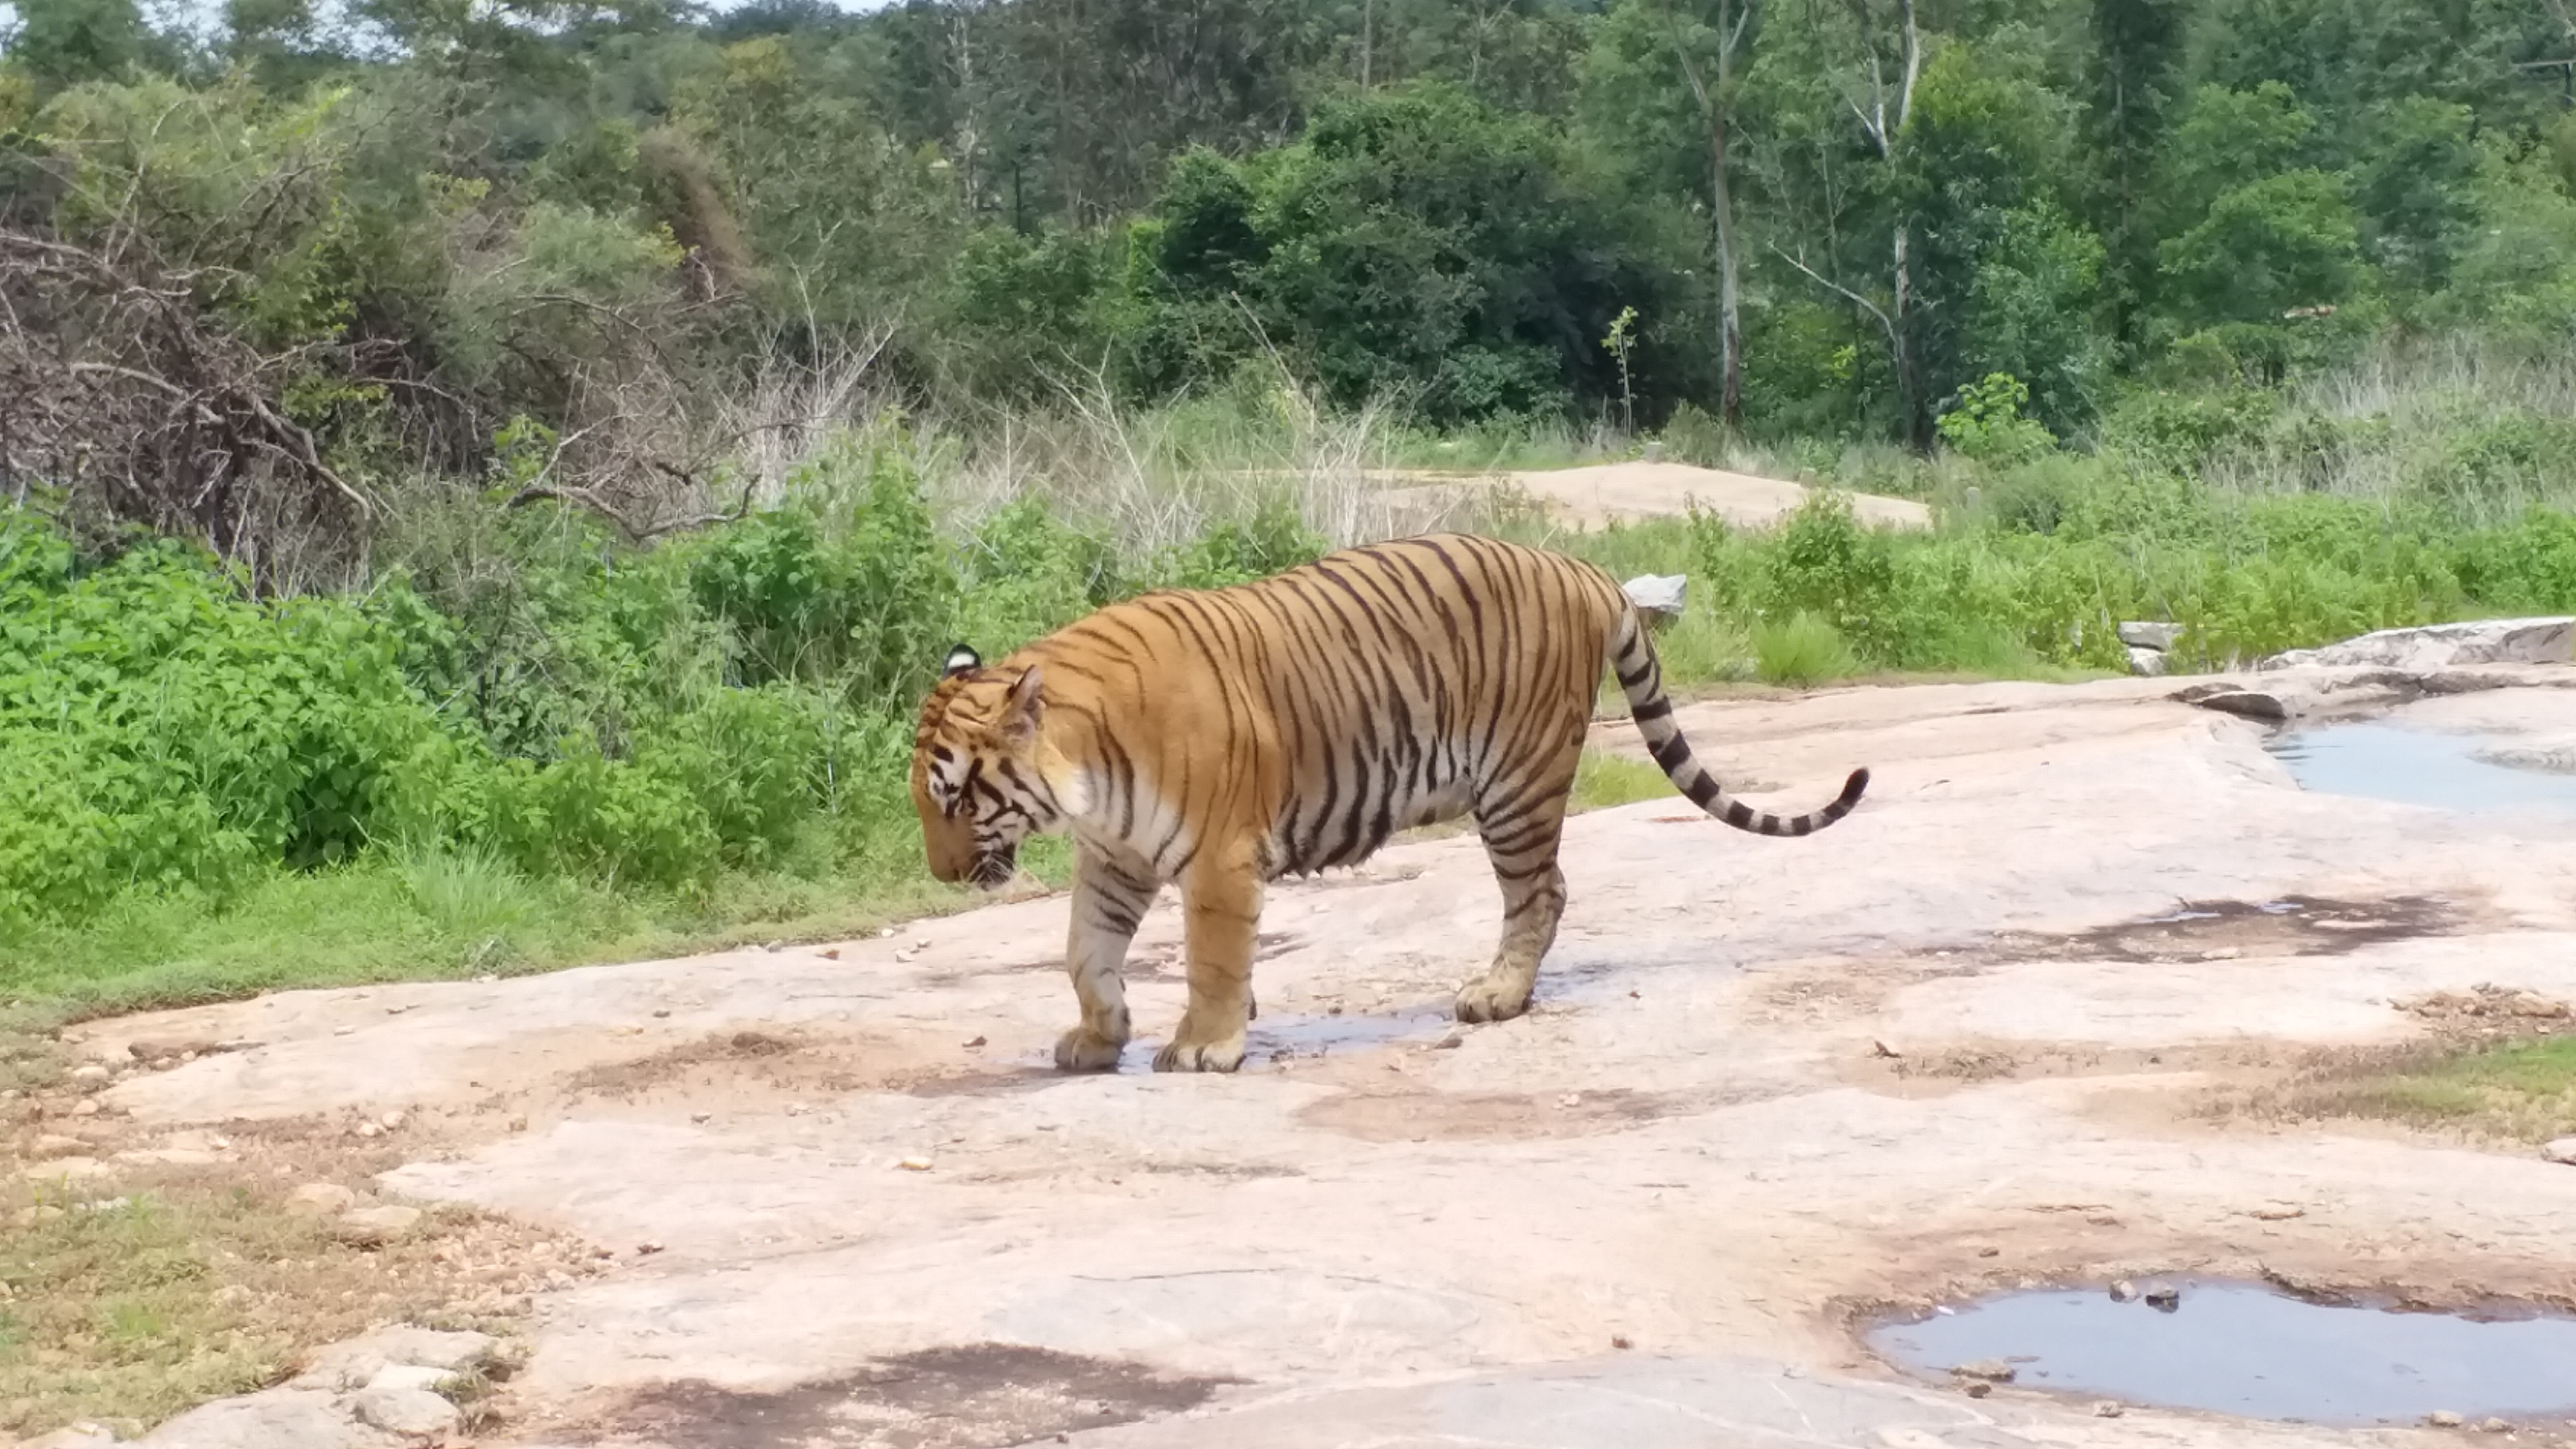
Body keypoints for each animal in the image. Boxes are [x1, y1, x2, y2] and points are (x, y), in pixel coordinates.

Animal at [912, 531, 1875, 1072]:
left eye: (955, 797)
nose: (943, 875)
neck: (1086, 773)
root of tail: (1582, 569)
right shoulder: (1116, 858)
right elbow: (1086, 955)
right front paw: (1098, 1037)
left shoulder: (1219, 860)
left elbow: (1214, 961)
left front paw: (1204, 1045)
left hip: (1517, 785)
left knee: (1542, 891)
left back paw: (1496, 996)